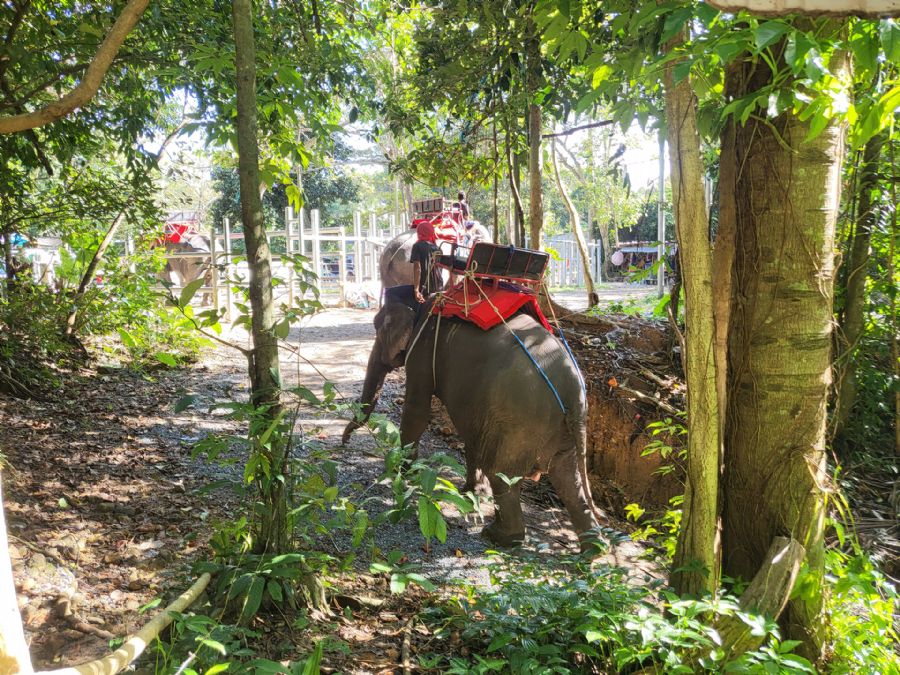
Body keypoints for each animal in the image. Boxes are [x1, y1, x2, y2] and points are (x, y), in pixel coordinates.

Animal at [342, 285, 602, 549]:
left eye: (377, 328)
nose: (344, 441)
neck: (422, 301)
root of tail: (573, 390)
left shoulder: (423, 351)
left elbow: (417, 410)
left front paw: (403, 473)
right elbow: (472, 433)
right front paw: (471, 491)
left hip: (523, 425)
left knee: (503, 475)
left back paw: (499, 536)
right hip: (559, 430)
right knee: (569, 483)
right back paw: (594, 548)